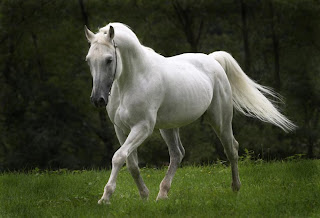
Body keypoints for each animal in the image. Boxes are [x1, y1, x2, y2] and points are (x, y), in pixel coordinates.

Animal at [84, 22, 296, 204]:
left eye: (109, 60)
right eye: (89, 61)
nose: (97, 99)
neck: (133, 80)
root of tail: (213, 60)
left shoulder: (142, 127)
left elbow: (118, 157)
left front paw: (105, 198)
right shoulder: (121, 129)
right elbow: (131, 163)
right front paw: (144, 196)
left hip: (220, 120)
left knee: (231, 149)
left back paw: (235, 188)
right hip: (168, 127)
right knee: (178, 154)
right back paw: (162, 195)